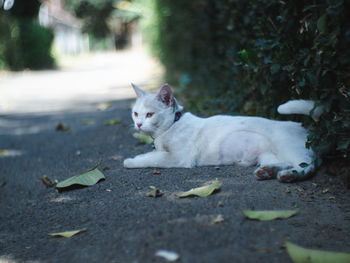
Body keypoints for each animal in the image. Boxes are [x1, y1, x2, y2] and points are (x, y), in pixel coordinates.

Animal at [123, 83, 322, 183]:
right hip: (266, 155)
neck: (173, 125)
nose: (138, 124)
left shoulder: (179, 157)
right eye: (136, 113)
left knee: (307, 166)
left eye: (150, 115)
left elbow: (152, 158)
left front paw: (130, 161)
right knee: (285, 163)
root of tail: (304, 127)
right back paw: (267, 172)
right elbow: (152, 154)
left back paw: (290, 176)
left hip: (287, 147)